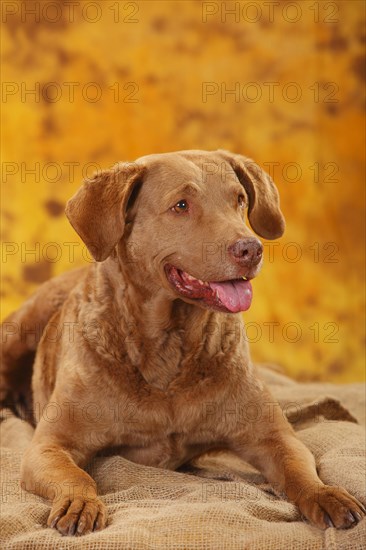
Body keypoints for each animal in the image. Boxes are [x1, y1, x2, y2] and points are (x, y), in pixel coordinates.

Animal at [0, 149, 366, 536]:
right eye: (181, 205)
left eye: (239, 199)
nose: (250, 249)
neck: (168, 346)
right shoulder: (50, 445)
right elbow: (77, 476)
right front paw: (80, 503)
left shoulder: (273, 436)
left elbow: (297, 466)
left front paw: (325, 494)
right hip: (21, 329)